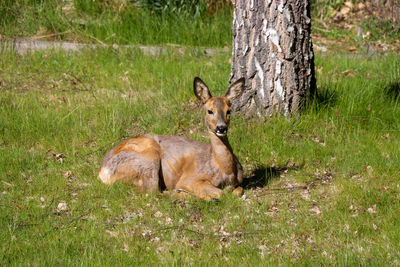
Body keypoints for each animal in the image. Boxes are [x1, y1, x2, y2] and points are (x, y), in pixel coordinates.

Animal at [98, 77, 245, 201]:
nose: (221, 128)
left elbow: (238, 190)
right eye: (210, 111)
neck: (224, 169)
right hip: (147, 159)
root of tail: (102, 172)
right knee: (151, 192)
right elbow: (221, 193)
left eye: (228, 111)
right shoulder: (190, 178)